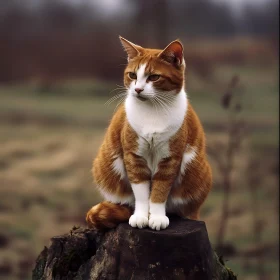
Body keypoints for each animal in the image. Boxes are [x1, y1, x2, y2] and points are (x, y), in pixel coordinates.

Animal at [86, 36, 212, 231]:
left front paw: (157, 217)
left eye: (154, 77)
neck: (152, 110)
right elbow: (141, 191)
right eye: (132, 75)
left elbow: (160, 190)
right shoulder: (134, 156)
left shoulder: (170, 158)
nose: (138, 89)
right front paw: (140, 216)